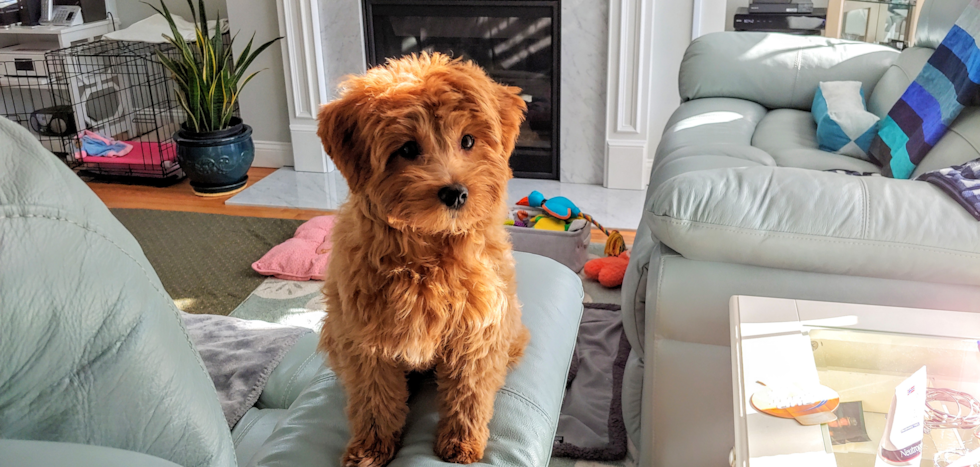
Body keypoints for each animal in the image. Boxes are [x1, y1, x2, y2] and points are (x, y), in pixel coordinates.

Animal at [318, 53, 532, 466]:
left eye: (468, 140)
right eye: (407, 149)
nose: (455, 193)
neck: (427, 255)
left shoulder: (478, 331)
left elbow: (470, 391)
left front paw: (462, 442)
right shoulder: (363, 341)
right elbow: (374, 399)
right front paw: (371, 448)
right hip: (333, 334)